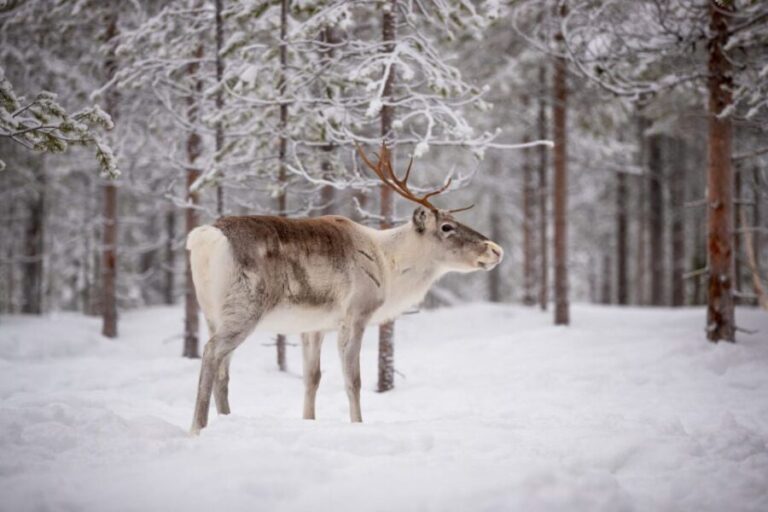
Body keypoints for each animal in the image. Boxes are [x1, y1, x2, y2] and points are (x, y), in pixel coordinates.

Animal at [187, 144, 503, 434]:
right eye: (447, 227)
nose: (495, 249)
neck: (388, 265)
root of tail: (204, 238)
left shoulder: (313, 326)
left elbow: (312, 378)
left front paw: (309, 420)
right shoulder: (357, 312)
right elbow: (354, 379)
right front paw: (358, 424)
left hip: (212, 313)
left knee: (223, 371)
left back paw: (225, 420)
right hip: (245, 307)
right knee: (211, 352)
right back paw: (197, 428)